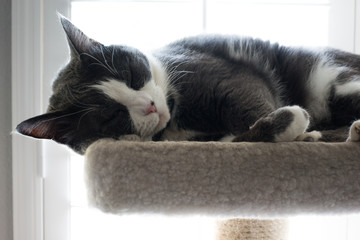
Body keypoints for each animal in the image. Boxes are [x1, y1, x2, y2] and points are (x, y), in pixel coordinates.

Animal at [16, 15, 360, 154]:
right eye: (111, 115)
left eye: (131, 75)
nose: (150, 106)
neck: (176, 124)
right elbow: (236, 138)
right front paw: (297, 130)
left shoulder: (221, 73)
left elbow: (248, 99)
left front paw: (291, 126)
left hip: (329, 77)